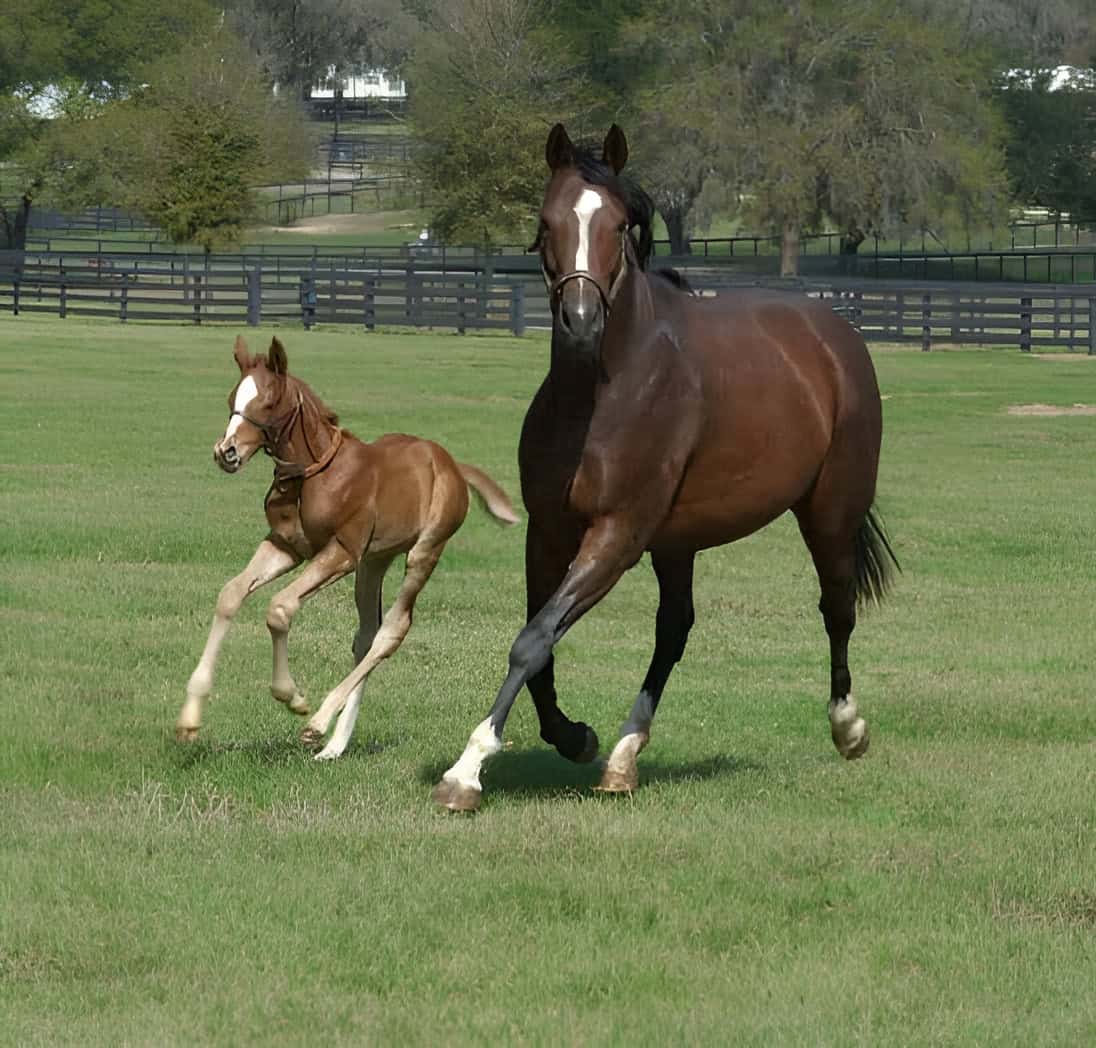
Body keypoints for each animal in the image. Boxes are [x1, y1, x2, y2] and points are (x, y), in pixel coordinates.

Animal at [176, 335, 519, 759]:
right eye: (231, 399)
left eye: (269, 403)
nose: (227, 452)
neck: (313, 476)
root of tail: (453, 465)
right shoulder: (286, 546)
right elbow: (231, 593)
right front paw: (190, 717)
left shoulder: (340, 552)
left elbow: (280, 608)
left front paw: (293, 697)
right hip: (375, 560)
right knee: (367, 634)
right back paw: (335, 745)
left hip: (424, 552)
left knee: (392, 630)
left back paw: (319, 725)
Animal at [433, 124, 898, 812]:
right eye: (546, 223)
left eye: (618, 225)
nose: (580, 320)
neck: (605, 390)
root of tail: (834, 335)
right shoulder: (549, 532)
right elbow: (537, 643)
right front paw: (574, 737)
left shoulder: (617, 534)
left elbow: (533, 639)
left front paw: (468, 769)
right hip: (679, 541)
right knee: (674, 629)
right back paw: (624, 757)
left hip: (829, 511)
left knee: (836, 607)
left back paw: (849, 727)